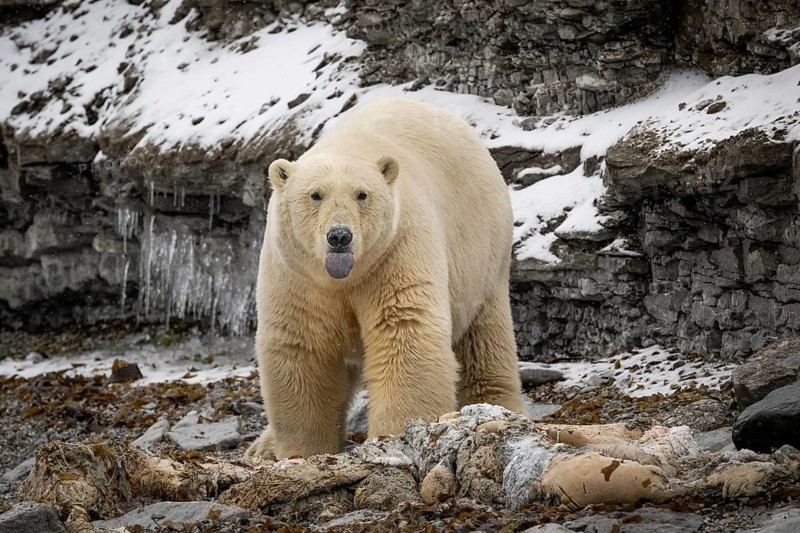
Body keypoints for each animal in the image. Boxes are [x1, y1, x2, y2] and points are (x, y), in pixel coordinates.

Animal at [245, 97, 526, 460]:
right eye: (315, 194)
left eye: (362, 194)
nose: (340, 236)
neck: (344, 278)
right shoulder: (298, 272)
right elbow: (304, 345)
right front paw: (302, 450)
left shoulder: (395, 249)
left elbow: (404, 330)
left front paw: (395, 436)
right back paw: (261, 447)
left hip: (483, 255)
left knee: (484, 340)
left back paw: (496, 406)